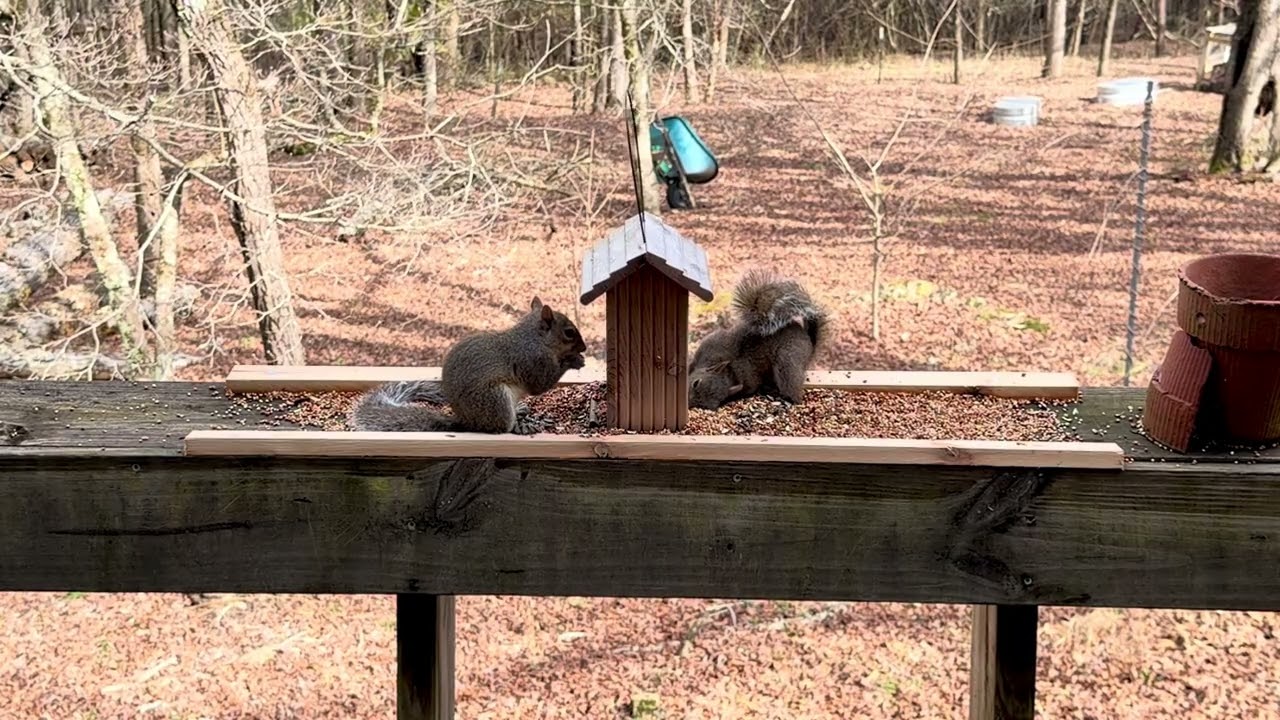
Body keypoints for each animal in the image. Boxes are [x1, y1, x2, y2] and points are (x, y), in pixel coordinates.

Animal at [349, 297, 587, 434]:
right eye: (569, 333)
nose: (584, 348)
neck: (535, 339)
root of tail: (467, 422)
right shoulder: (532, 359)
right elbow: (540, 384)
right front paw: (573, 360)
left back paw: (520, 410)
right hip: (496, 399)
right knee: (501, 427)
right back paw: (520, 426)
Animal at [688, 269, 829, 410]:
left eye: (709, 406)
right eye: (695, 383)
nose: (689, 403)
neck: (729, 371)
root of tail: (809, 342)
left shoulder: (749, 379)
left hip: (788, 362)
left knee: (793, 389)